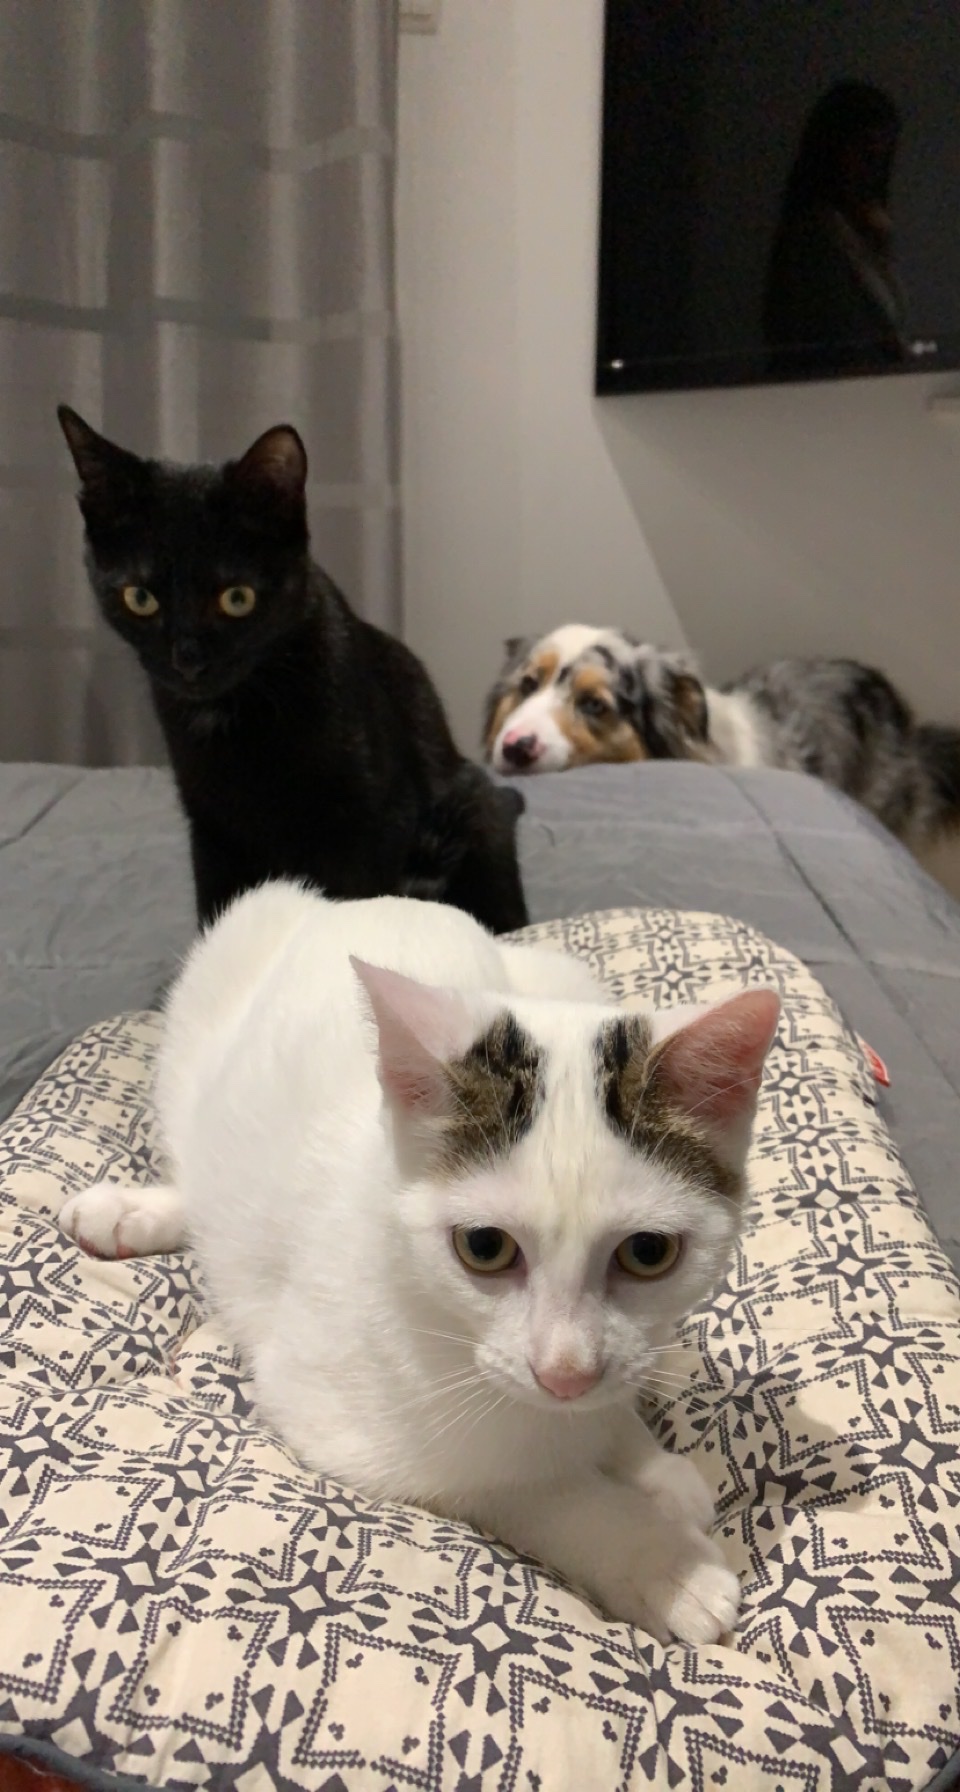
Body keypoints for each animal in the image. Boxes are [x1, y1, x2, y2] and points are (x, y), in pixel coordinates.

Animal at [57, 407, 528, 934]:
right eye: (140, 598)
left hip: (475, 812)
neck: (239, 715)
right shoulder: (212, 829)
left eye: (236, 598)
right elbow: (217, 911)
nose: (188, 659)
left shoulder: (371, 822)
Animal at [60, 881, 780, 1643]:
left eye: (648, 1252)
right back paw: (131, 1211)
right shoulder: (346, 1422)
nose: (565, 1373)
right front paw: (664, 1565)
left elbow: (610, 1405)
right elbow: (529, 1490)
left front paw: (651, 1464)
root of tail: (376, 897)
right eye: (485, 1247)